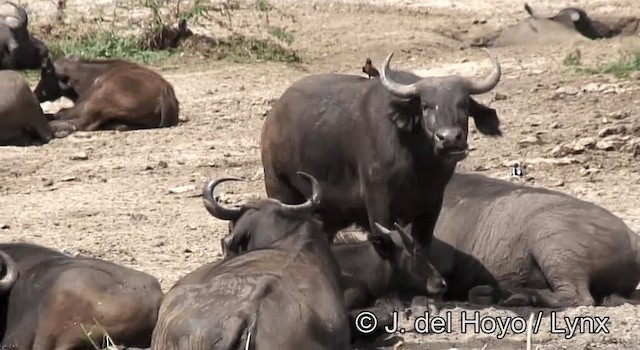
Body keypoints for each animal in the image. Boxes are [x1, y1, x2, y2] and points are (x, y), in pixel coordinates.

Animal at [34, 55, 181, 135]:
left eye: (45, 73)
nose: (36, 93)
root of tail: (164, 92)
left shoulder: (80, 106)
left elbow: (60, 112)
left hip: (98, 102)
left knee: (83, 123)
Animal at [262, 48, 502, 258]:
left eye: (464, 104)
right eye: (426, 105)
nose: (449, 138)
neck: (419, 165)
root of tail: (273, 116)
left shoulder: (431, 206)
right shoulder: (379, 205)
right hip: (280, 188)